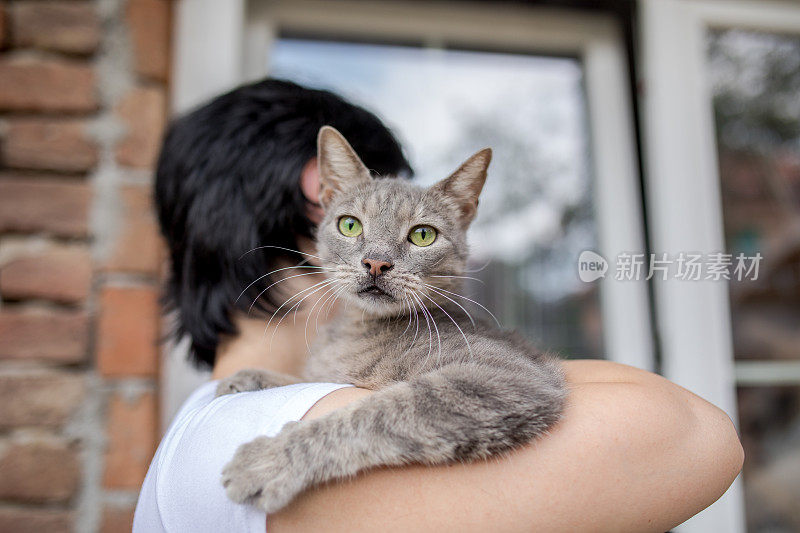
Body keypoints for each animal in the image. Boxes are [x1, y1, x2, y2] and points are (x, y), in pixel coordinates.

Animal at [219, 124, 564, 512]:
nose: (376, 262)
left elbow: (376, 412)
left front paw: (272, 459)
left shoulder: (508, 376)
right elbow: (309, 377)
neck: (358, 329)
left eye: (423, 235)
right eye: (350, 225)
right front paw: (251, 377)